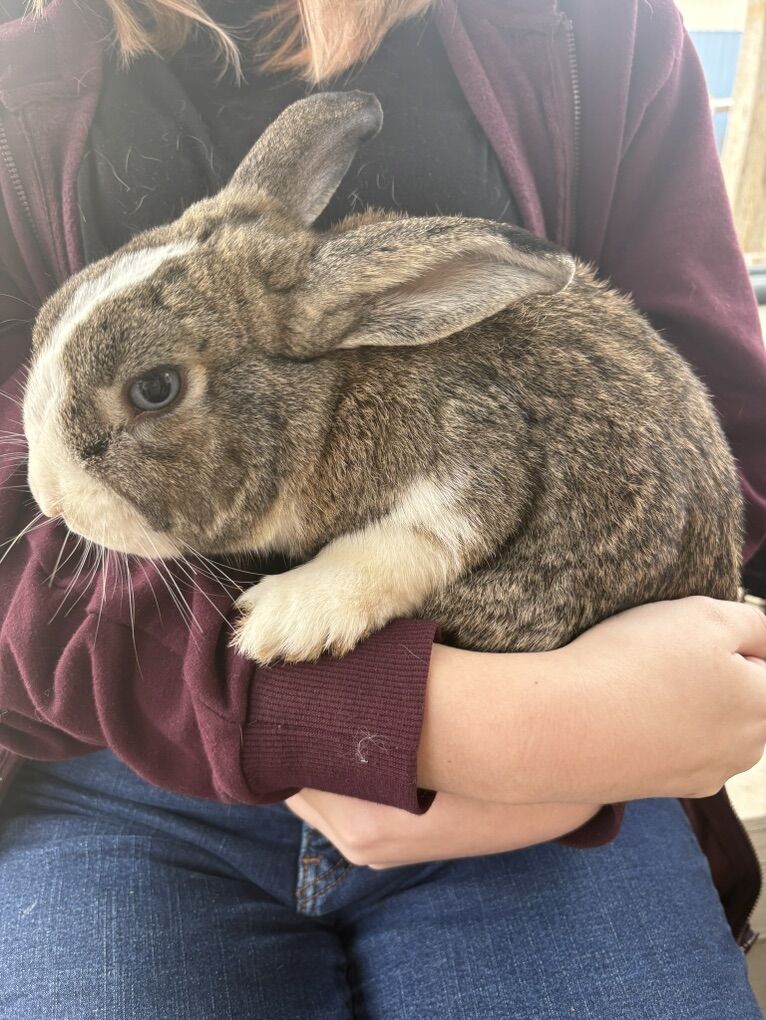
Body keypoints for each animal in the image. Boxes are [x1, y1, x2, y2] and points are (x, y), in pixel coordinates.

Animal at [23, 91, 742, 664]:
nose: (49, 500)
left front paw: (282, 619)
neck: (336, 400)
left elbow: (401, 546)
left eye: (156, 388)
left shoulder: (478, 465)